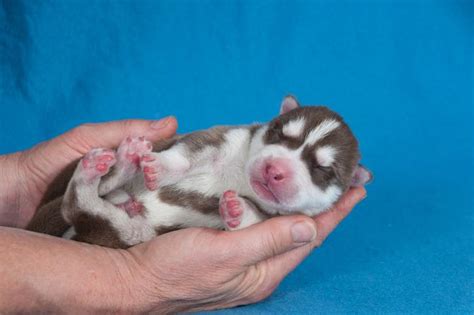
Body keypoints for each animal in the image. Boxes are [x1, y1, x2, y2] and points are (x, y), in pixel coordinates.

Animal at [27, 95, 372, 248]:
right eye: (279, 134)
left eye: (322, 169)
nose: (274, 169)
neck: (241, 176)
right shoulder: (215, 139)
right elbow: (183, 155)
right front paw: (158, 167)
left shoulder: (270, 217)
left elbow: (250, 219)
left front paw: (234, 208)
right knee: (84, 196)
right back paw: (122, 160)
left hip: (130, 231)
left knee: (82, 206)